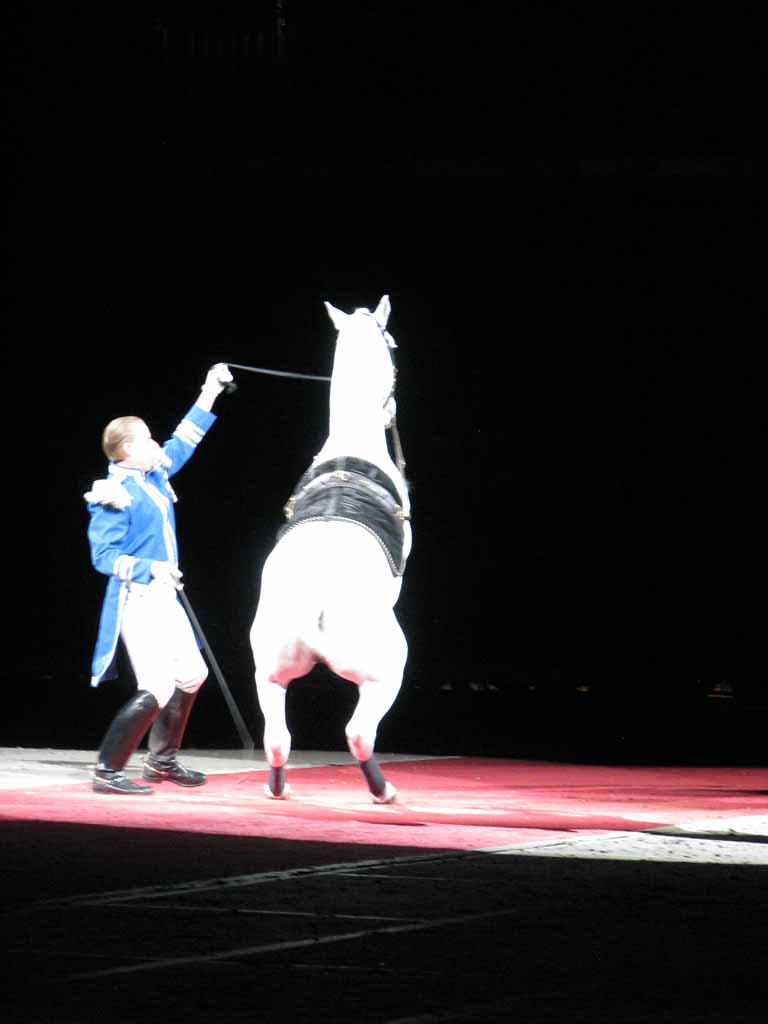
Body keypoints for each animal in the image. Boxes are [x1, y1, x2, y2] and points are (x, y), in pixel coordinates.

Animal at [249, 292, 411, 802]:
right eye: (393, 343)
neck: (352, 443)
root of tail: (313, 600)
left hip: (269, 673)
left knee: (277, 738)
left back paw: (277, 787)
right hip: (386, 670)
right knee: (359, 733)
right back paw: (383, 790)